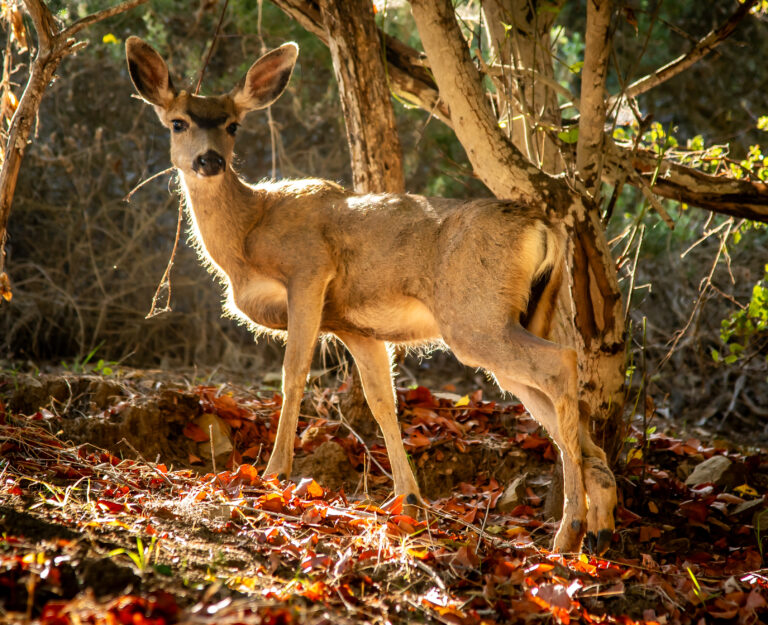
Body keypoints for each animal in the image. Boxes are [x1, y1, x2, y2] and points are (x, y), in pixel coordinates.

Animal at [125, 36, 617, 554]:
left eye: (233, 125)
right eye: (178, 122)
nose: (210, 160)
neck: (248, 234)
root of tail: (544, 229)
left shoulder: (309, 269)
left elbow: (293, 374)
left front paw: (274, 471)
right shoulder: (354, 327)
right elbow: (383, 403)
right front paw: (409, 498)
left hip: (474, 318)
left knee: (561, 363)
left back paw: (569, 529)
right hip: (517, 318)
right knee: (552, 399)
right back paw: (600, 521)